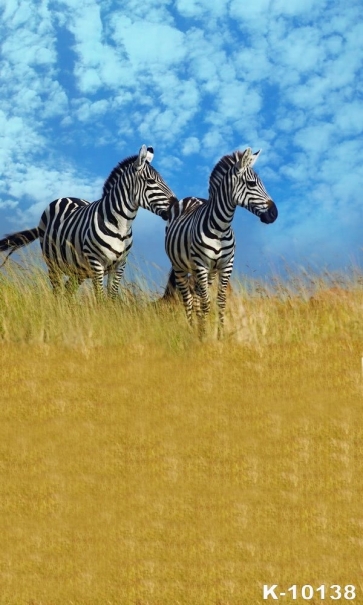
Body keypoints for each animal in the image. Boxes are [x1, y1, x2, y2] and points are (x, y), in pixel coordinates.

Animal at [0, 145, 176, 298]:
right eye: (151, 181)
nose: (175, 204)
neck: (121, 225)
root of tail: (66, 197)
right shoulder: (96, 263)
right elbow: (100, 298)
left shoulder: (119, 265)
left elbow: (112, 298)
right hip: (53, 262)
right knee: (57, 291)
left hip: (79, 269)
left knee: (68, 291)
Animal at [165, 146, 278, 336]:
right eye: (251, 184)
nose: (274, 214)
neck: (221, 227)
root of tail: (190, 197)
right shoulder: (202, 265)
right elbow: (206, 303)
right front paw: (205, 336)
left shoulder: (225, 265)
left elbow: (220, 301)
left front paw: (219, 334)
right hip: (180, 267)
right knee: (188, 299)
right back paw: (192, 329)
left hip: (205, 272)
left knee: (196, 298)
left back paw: (198, 328)